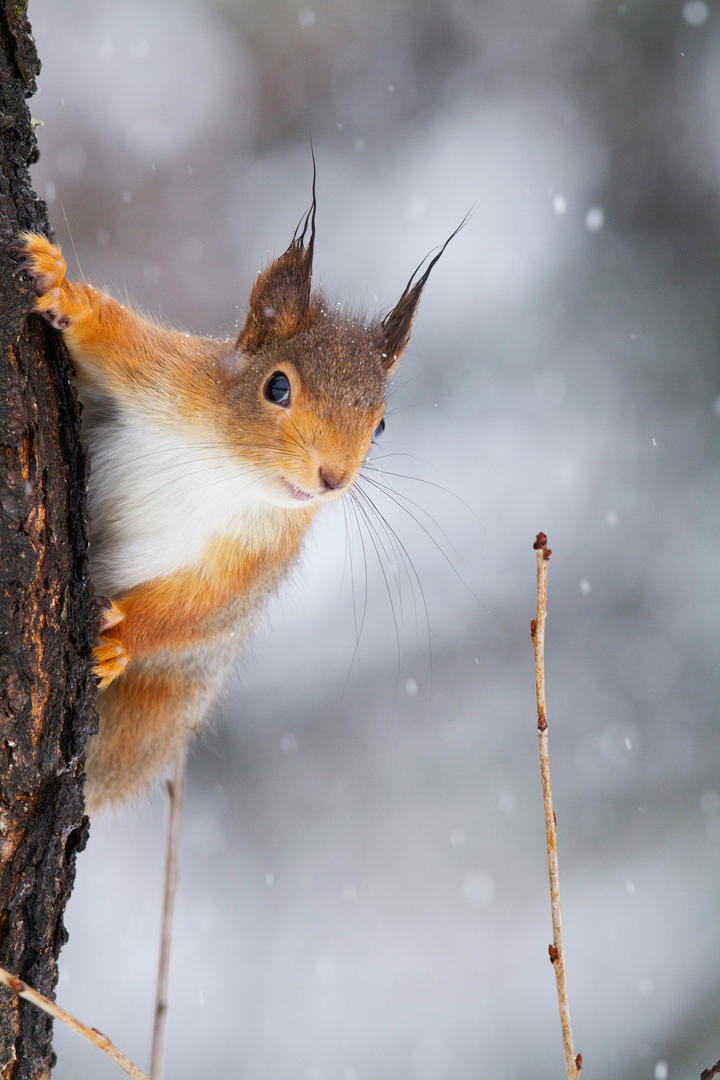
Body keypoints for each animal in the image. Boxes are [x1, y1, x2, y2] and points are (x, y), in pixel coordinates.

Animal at [15, 198, 455, 812]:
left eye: (381, 425)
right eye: (277, 387)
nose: (332, 478)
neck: (233, 472)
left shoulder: (256, 560)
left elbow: (198, 609)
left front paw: (117, 642)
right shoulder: (172, 376)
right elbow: (112, 337)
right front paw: (57, 283)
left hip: (162, 707)